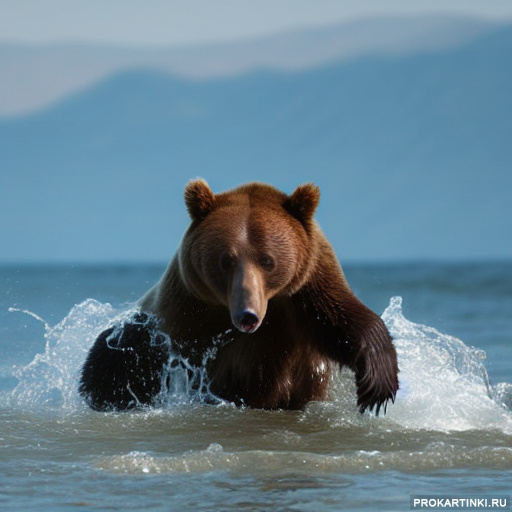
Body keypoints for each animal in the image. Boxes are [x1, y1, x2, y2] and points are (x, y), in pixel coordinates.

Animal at [80, 179, 400, 412]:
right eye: (226, 260)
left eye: (268, 260)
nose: (248, 314)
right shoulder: (185, 312)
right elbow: (124, 353)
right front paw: (108, 394)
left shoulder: (308, 292)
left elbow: (345, 323)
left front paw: (376, 386)